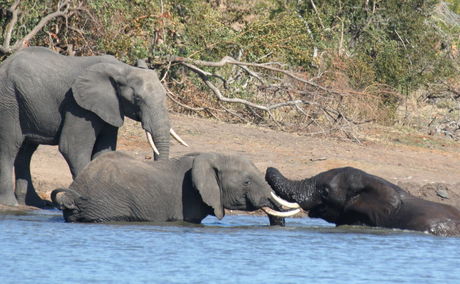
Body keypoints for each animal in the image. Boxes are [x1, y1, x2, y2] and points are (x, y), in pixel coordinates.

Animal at [0, 46, 187, 206]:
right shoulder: (77, 105)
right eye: (138, 99)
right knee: (10, 146)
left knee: (26, 152)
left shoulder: (110, 107)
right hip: (9, 100)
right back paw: (11, 204)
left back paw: (34, 203)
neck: (122, 69)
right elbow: (73, 149)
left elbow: (104, 151)